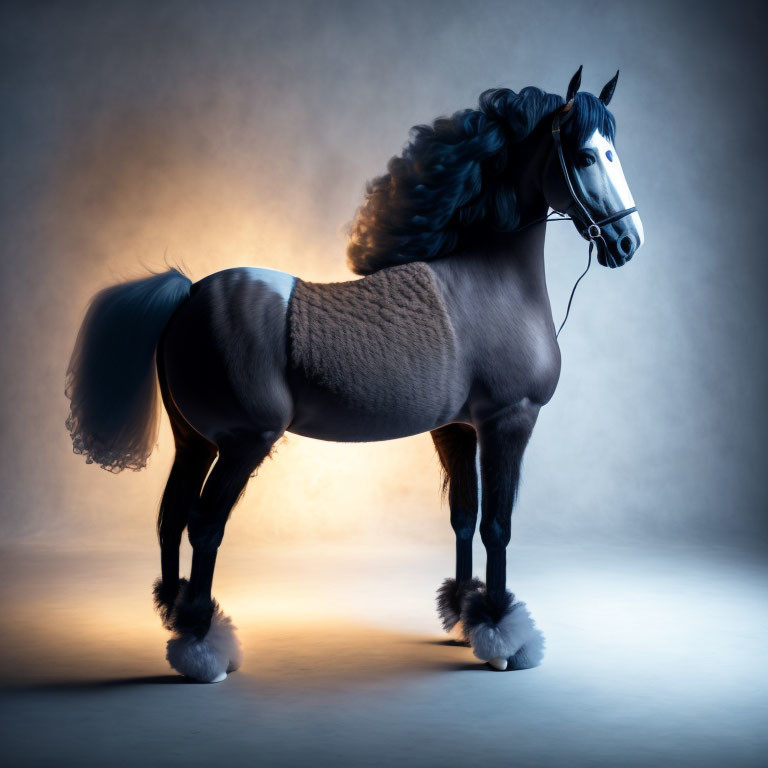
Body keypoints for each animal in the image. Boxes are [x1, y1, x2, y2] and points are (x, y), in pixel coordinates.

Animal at [64, 64, 640, 680]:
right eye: (586, 155)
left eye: (614, 151)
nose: (628, 242)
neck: (489, 282)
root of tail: (189, 293)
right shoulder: (508, 422)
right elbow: (497, 527)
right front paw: (503, 634)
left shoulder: (457, 430)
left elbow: (464, 518)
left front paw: (464, 613)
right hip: (243, 442)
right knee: (204, 525)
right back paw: (202, 645)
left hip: (194, 441)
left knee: (172, 518)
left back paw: (175, 617)